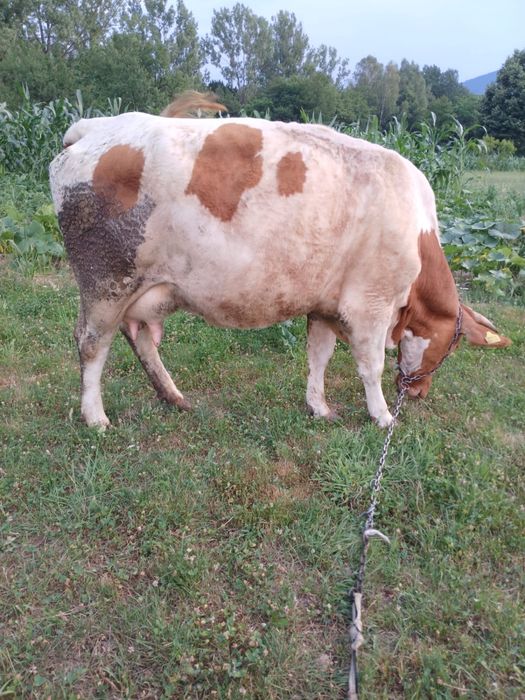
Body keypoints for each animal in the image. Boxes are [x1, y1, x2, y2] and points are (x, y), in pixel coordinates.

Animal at [49, 94, 510, 429]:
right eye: (451, 347)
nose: (418, 393)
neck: (417, 232)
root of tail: (96, 126)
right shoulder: (371, 304)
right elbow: (371, 364)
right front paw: (382, 416)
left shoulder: (325, 304)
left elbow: (319, 355)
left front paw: (319, 407)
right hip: (105, 280)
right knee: (91, 343)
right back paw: (96, 417)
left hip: (145, 287)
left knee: (141, 337)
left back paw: (174, 397)